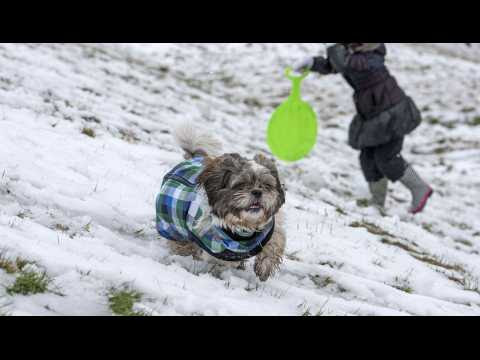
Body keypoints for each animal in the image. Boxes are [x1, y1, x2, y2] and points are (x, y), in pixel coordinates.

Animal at [156, 123, 286, 282]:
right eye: (241, 185)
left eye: (266, 185)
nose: (257, 192)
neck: (242, 228)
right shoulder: (214, 244)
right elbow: (220, 259)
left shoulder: (270, 228)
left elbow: (275, 241)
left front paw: (264, 267)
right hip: (173, 225)